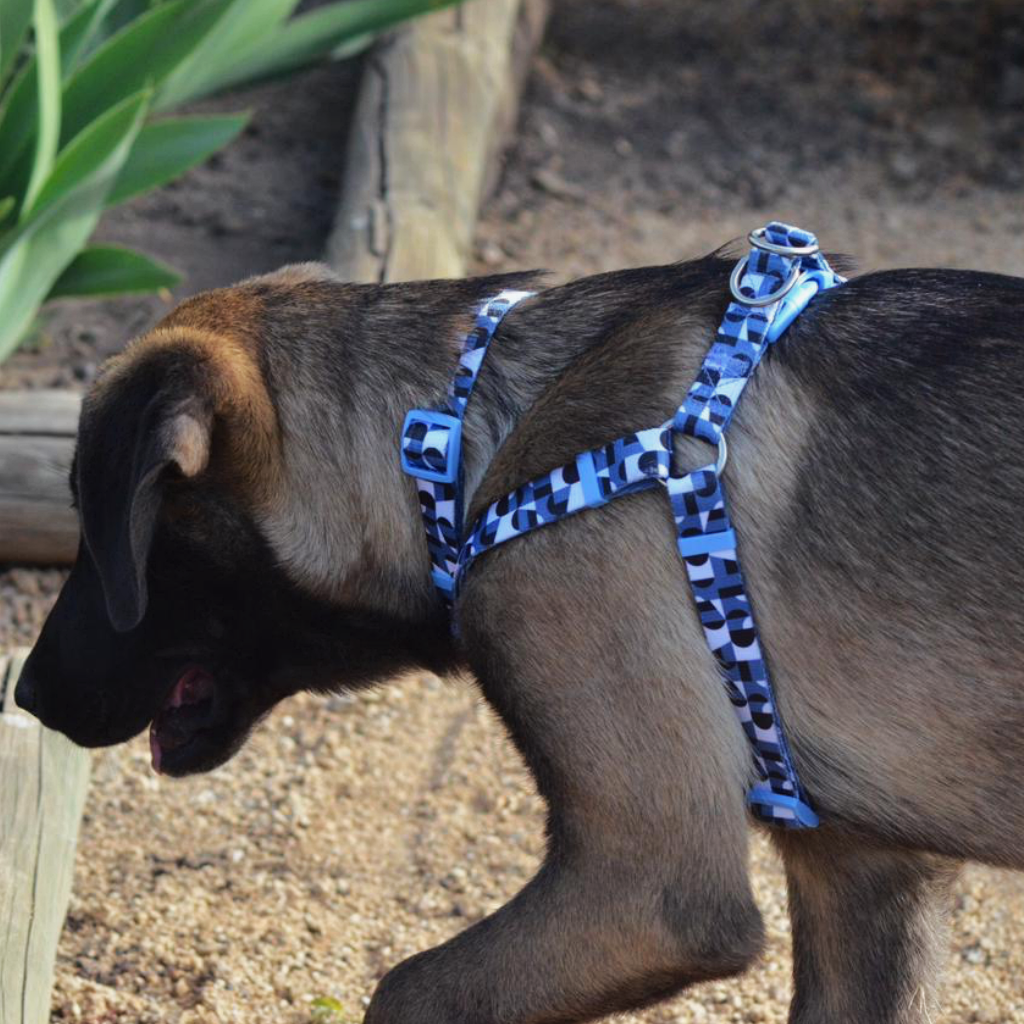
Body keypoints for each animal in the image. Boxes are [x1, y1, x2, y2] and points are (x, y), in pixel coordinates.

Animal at [14, 249, 1024, 1024]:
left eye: (102, 527)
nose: (24, 692)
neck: (457, 440)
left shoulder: (647, 881)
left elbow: (407, 990)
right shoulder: (868, 885)